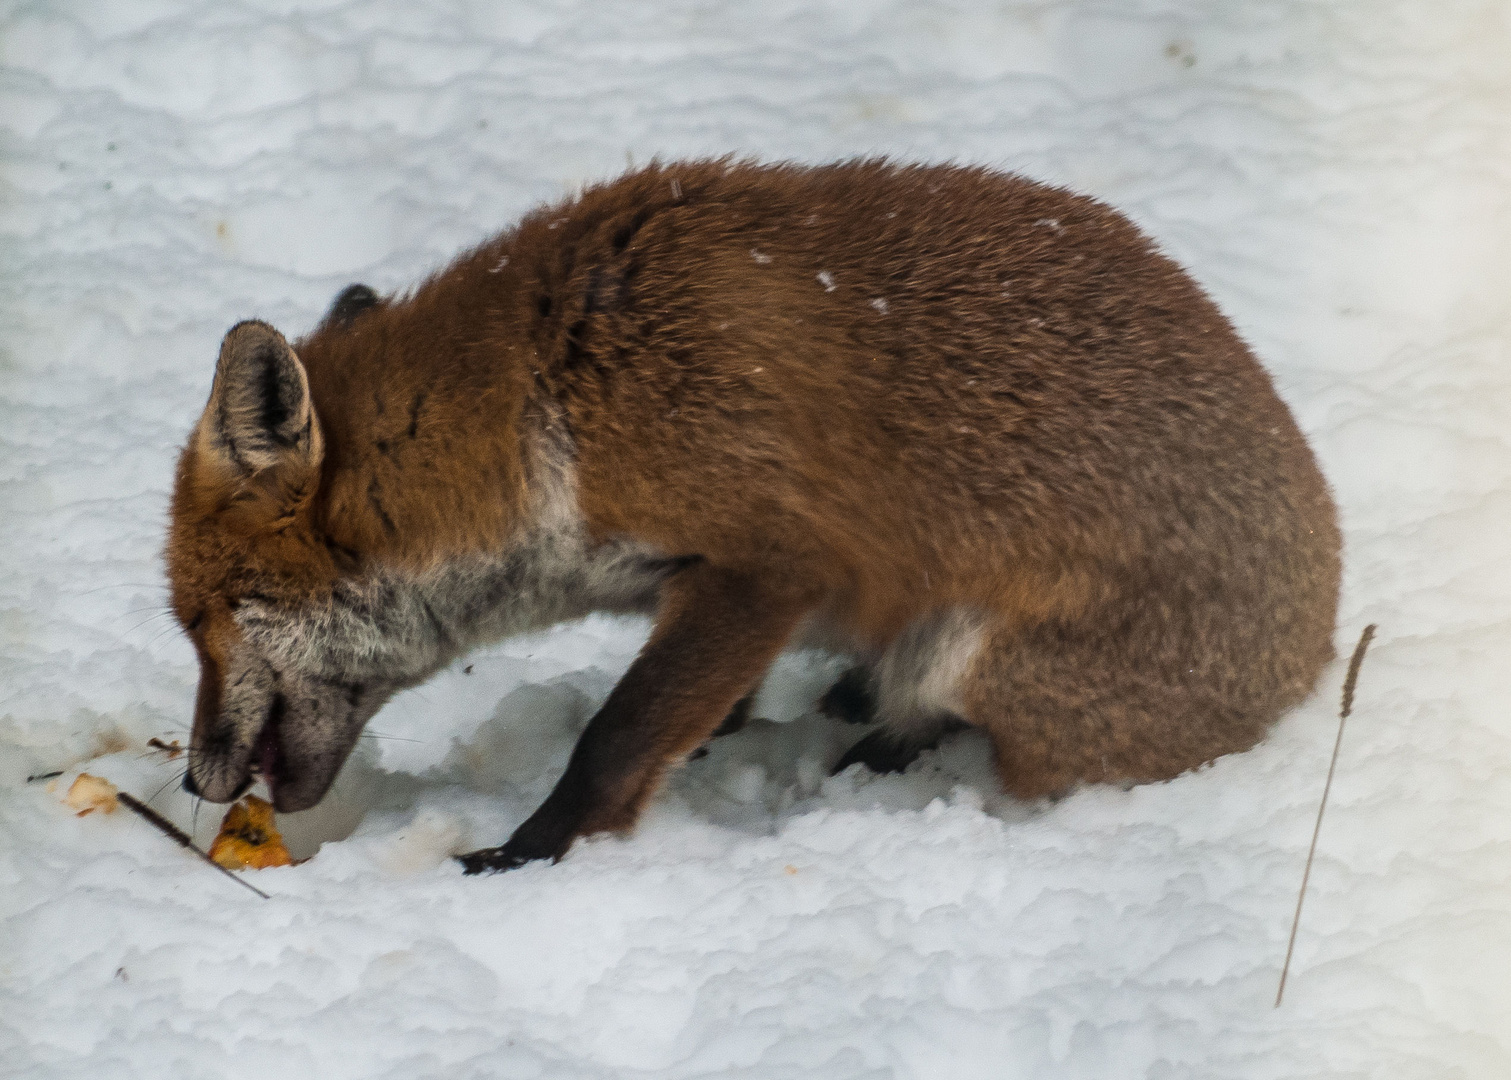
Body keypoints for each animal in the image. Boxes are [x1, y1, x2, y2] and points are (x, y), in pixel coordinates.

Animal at [165, 156, 1341, 876]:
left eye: (199, 623)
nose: (189, 776)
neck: (551, 408)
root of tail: (1317, 650)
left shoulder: (764, 566)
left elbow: (614, 734)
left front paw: (524, 860)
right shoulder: (691, 591)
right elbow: (691, 715)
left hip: (970, 649)